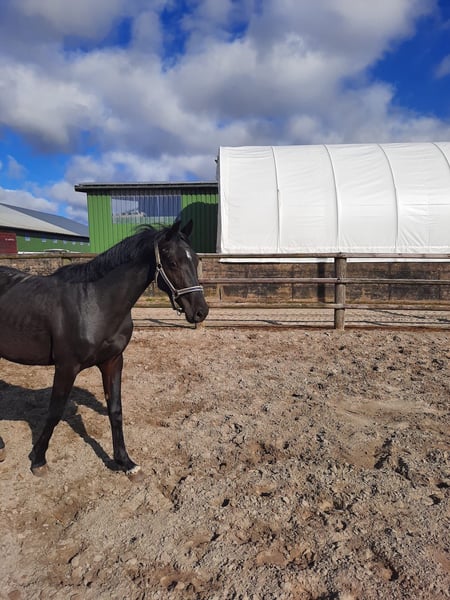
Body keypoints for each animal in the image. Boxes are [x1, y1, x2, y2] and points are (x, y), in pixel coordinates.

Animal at [0, 219, 208, 479]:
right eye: (172, 262)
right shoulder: (66, 366)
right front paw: (38, 459)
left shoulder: (113, 361)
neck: (95, 303)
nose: (201, 311)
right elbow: (55, 412)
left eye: (196, 260)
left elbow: (115, 410)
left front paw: (126, 462)